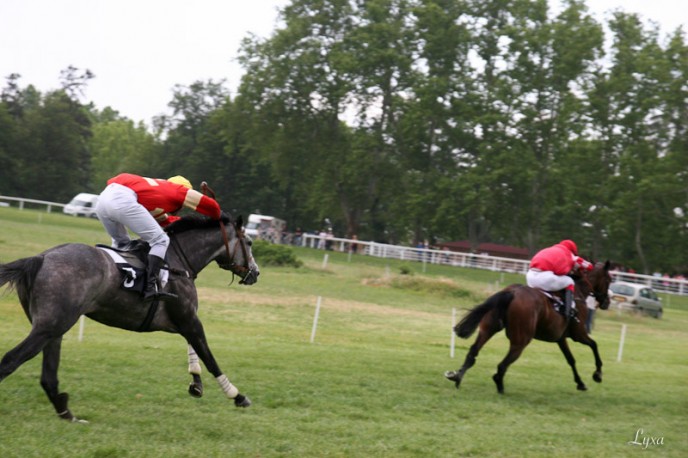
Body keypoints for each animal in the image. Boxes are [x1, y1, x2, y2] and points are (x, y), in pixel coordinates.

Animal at [0, 214, 258, 422]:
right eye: (249, 242)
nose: (255, 273)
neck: (179, 262)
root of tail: (40, 258)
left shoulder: (182, 322)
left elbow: (194, 348)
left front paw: (196, 382)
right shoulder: (188, 320)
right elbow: (209, 357)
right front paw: (236, 395)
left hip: (55, 328)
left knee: (48, 376)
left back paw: (67, 414)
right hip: (49, 327)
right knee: (11, 360)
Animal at [446, 262, 612, 394]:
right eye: (609, 280)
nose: (607, 302)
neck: (579, 291)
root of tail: (512, 292)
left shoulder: (560, 338)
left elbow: (571, 360)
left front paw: (580, 383)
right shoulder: (579, 334)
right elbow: (594, 345)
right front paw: (597, 374)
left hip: (488, 329)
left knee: (473, 351)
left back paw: (457, 377)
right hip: (521, 340)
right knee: (503, 364)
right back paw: (500, 386)